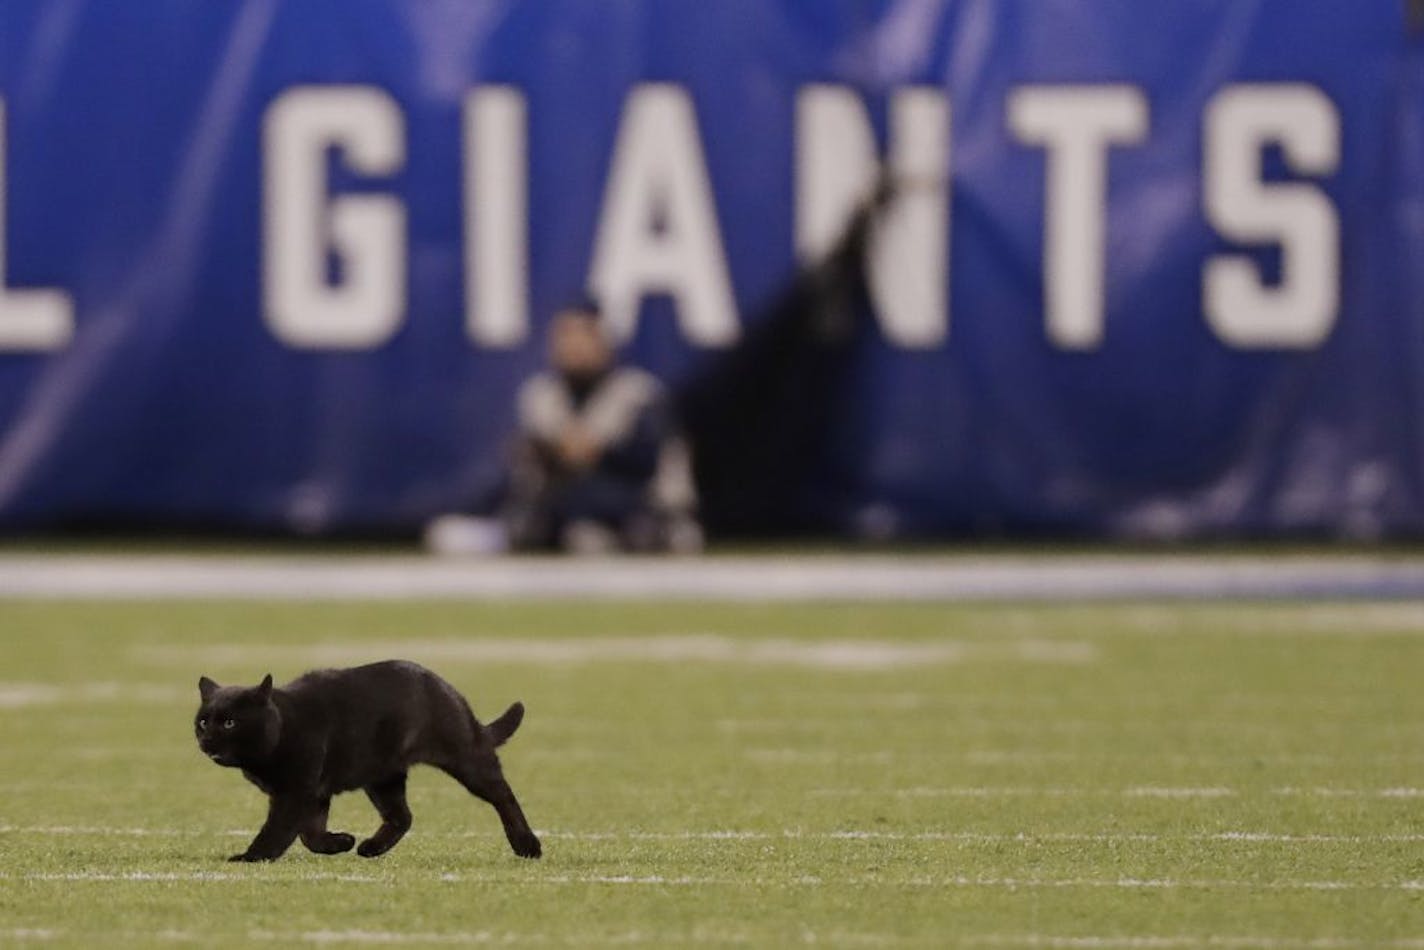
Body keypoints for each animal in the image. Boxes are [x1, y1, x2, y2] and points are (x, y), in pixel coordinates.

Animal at [195, 660, 538, 860]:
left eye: (230, 723)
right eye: (203, 721)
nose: (206, 739)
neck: (283, 726)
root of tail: (445, 686)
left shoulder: (295, 793)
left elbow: (278, 831)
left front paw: (248, 857)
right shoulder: (314, 793)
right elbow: (310, 834)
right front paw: (341, 842)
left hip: (466, 758)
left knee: (504, 795)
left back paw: (528, 846)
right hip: (382, 777)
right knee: (402, 816)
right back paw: (370, 848)